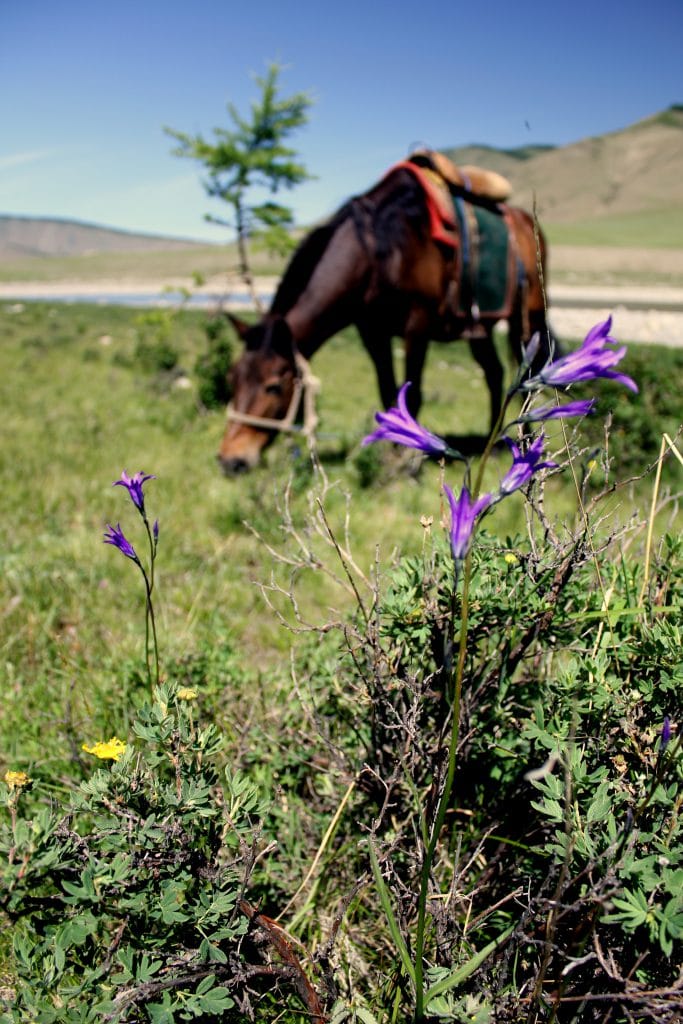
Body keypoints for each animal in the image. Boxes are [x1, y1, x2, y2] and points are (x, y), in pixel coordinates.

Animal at [219, 149, 557, 473]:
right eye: (232, 379)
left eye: (273, 387)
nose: (231, 460)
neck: (381, 250)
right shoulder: (373, 333)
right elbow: (386, 393)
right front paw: (394, 455)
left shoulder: (417, 327)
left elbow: (414, 395)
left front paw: (410, 466)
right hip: (479, 328)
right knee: (494, 373)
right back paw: (493, 442)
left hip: (526, 318)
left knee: (525, 375)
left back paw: (523, 443)